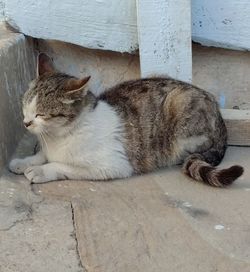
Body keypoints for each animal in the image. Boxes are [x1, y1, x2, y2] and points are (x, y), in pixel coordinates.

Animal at [8, 52, 243, 187]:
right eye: (25, 107)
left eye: (40, 114)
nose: (26, 122)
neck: (57, 137)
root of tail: (218, 113)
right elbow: (42, 155)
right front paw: (24, 162)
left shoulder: (112, 165)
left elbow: (62, 165)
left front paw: (41, 170)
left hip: (180, 107)